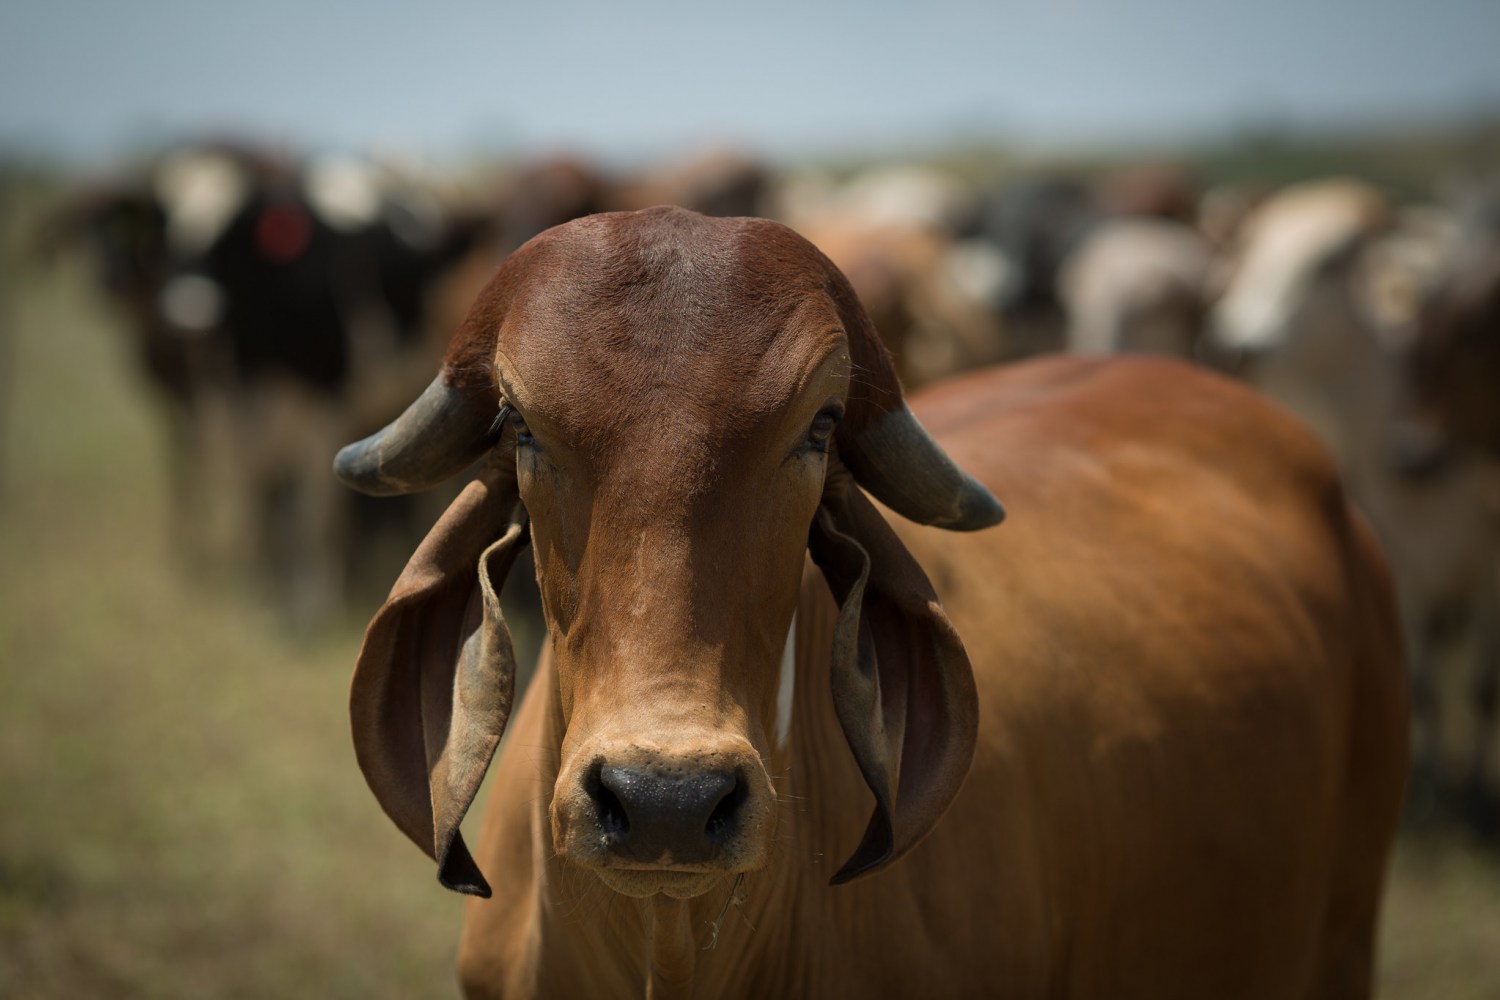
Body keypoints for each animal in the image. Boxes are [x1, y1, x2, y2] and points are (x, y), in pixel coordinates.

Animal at [1206, 177, 1500, 827]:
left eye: (1332, 262)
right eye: (1253, 247)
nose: (1234, 344)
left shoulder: (1488, 568)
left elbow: (1480, 691)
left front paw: (1471, 792)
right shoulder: (1401, 561)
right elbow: (1424, 686)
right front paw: (1428, 791)